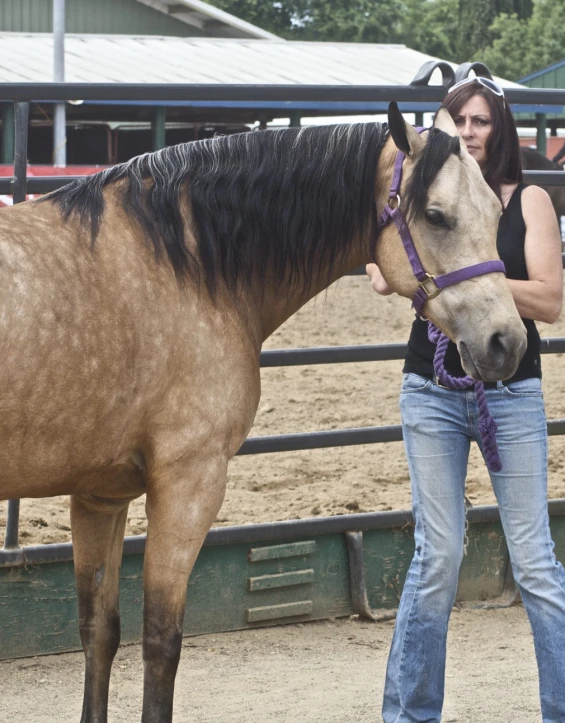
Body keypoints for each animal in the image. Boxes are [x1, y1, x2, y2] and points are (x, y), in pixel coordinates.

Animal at [0, 103, 524, 723]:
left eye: (496, 211)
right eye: (438, 217)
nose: (506, 343)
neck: (180, 263)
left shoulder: (100, 494)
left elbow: (99, 631)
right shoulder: (188, 485)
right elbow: (160, 640)